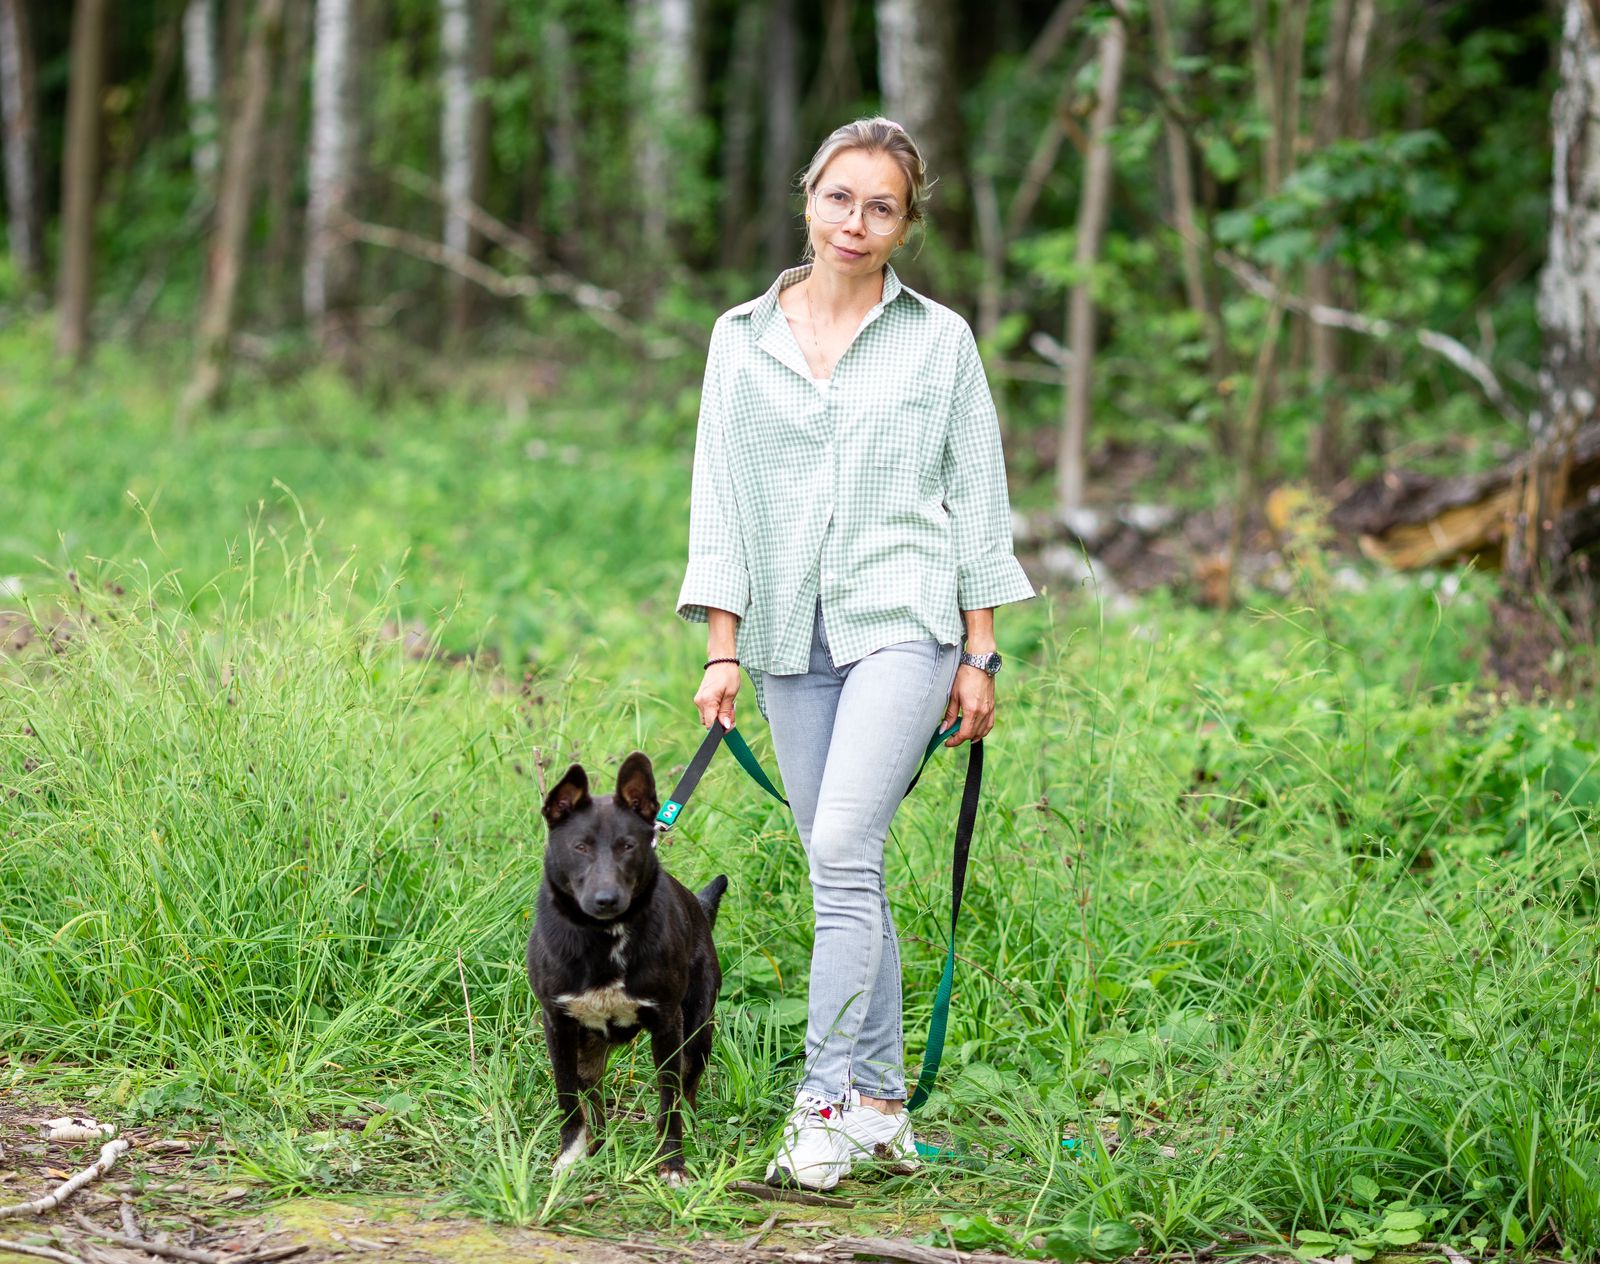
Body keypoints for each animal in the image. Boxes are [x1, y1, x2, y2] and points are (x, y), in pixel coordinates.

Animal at [526, 751, 728, 1183]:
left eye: (628, 846)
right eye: (580, 847)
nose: (606, 899)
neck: (604, 938)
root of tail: (699, 907)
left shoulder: (668, 1025)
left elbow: (669, 1101)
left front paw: (672, 1164)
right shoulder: (558, 1024)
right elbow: (568, 1100)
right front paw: (569, 1158)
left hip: (698, 1030)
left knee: (687, 1089)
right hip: (589, 1047)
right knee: (593, 1098)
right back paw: (596, 1148)